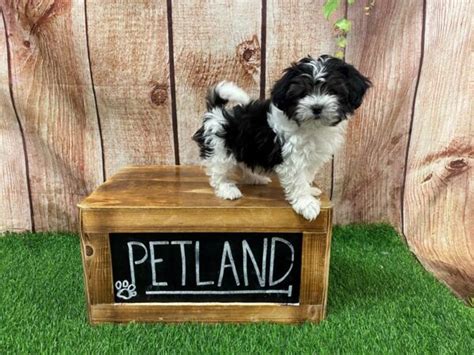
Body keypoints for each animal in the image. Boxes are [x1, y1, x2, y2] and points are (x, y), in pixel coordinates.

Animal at [192, 54, 370, 221]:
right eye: (303, 93)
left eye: (332, 90)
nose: (317, 107)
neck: (312, 127)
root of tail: (216, 112)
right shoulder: (292, 158)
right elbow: (298, 181)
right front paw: (306, 204)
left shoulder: (311, 158)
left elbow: (307, 176)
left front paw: (309, 190)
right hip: (220, 149)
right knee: (218, 173)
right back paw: (227, 189)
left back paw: (255, 178)